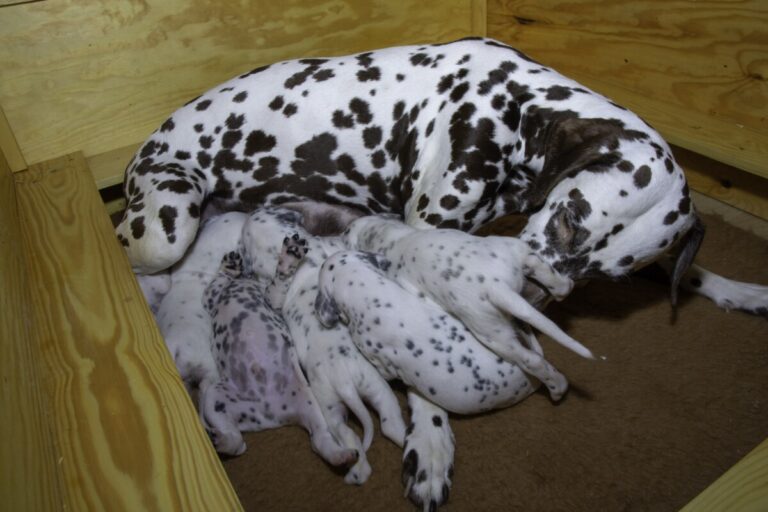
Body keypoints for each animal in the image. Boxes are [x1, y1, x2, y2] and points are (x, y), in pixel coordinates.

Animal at [198, 250, 356, 466]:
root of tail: (272, 413)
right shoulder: (213, 296)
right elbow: (219, 281)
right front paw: (230, 264)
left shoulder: (272, 298)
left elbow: (278, 282)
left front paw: (290, 256)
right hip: (216, 399)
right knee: (237, 442)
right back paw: (219, 440)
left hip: (311, 405)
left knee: (319, 440)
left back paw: (342, 455)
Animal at [240, 205, 408, 484]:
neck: (274, 241)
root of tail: (345, 382)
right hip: (350, 400)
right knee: (371, 431)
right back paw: (360, 467)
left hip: (357, 396)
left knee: (374, 429)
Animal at [344, 214, 596, 402]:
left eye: (345, 233)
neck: (391, 239)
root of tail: (494, 284)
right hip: (513, 249)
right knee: (540, 268)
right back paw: (564, 286)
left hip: (491, 334)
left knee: (531, 361)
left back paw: (557, 389)